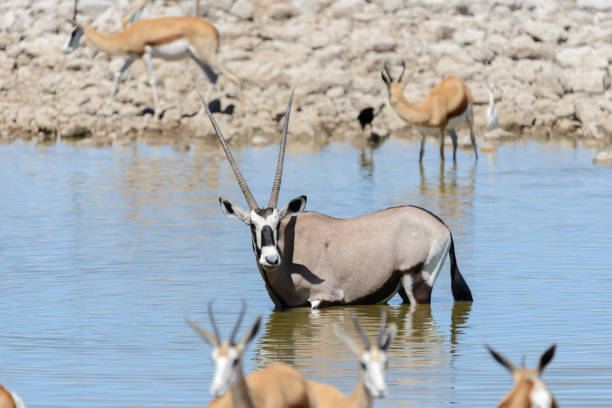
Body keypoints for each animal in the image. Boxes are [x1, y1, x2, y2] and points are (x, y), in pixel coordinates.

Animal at [62, 0, 241, 115]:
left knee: (233, 76)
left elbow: (152, 80)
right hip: (197, 57)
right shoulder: (131, 58)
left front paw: (157, 113)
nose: (64, 49)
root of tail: (215, 29)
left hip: (207, 56)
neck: (125, 36)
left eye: (73, 33)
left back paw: (240, 112)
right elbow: (118, 75)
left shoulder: (145, 54)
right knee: (213, 77)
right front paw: (106, 111)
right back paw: (200, 113)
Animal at [198, 88, 470, 306]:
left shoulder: (323, 300)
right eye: (252, 225)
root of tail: (443, 226)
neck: (290, 253)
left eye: (277, 224)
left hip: (418, 284)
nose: (271, 258)